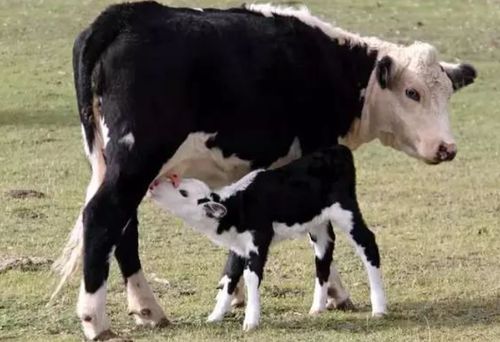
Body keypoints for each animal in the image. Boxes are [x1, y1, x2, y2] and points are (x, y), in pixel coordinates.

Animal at [148, 146, 382, 332]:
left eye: (183, 192)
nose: (153, 185)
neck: (238, 206)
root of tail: (338, 150)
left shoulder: (258, 241)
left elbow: (251, 277)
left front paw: (251, 321)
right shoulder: (238, 246)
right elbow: (230, 277)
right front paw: (215, 317)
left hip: (346, 210)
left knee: (367, 243)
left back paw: (379, 308)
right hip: (318, 224)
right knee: (323, 255)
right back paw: (317, 308)